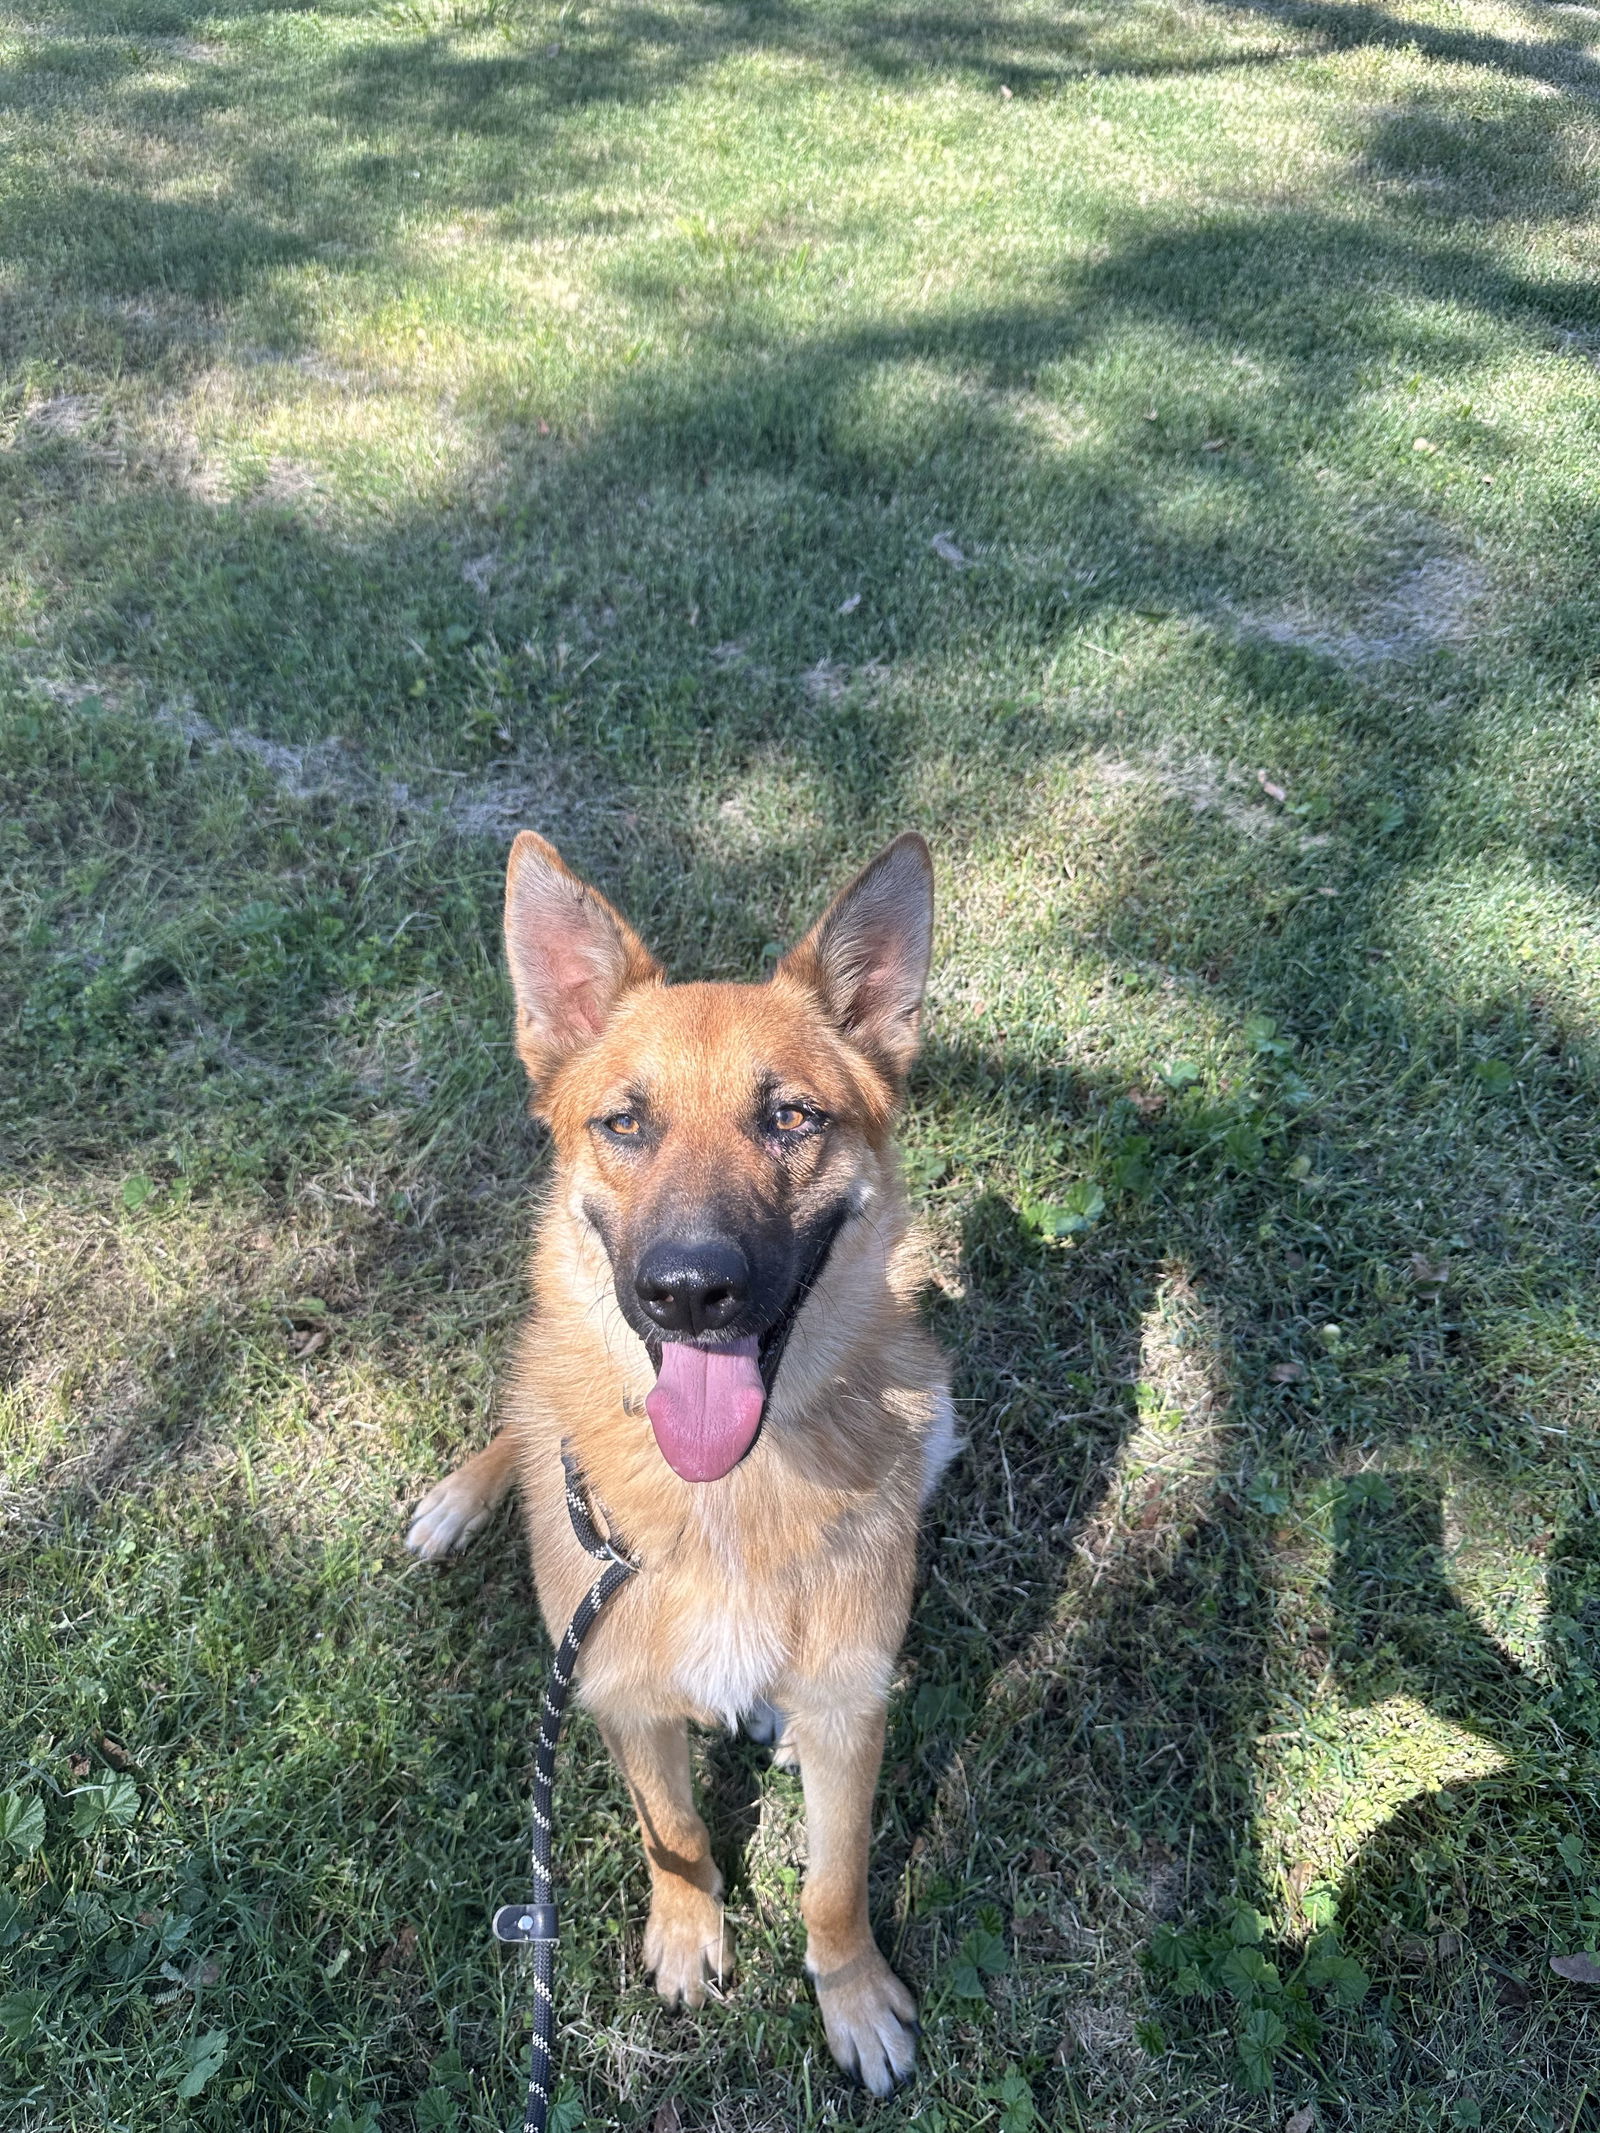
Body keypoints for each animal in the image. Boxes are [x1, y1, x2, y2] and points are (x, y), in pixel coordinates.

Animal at [413, 831, 960, 2098]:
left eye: (792, 1117)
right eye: (625, 1123)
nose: (690, 1291)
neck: (726, 1501)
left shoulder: (852, 1710)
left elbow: (836, 1879)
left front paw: (850, 1993)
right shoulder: (612, 1689)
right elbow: (674, 1831)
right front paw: (684, 1930)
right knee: (521, 1418)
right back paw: (462, 1496)